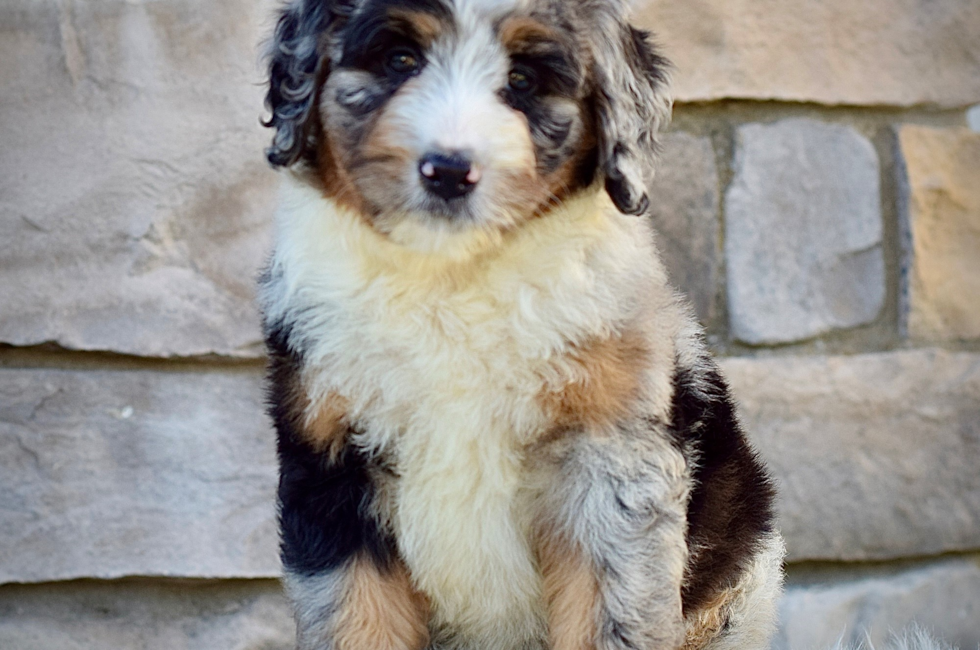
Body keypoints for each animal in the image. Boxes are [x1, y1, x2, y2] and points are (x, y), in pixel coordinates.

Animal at [256, 1, 784, 648]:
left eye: (524, 81)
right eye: (400, 60)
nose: (449, 171)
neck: (452, 277)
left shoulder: (612, 466)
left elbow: (605, 617)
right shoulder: (328, 463)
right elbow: (355, 619)